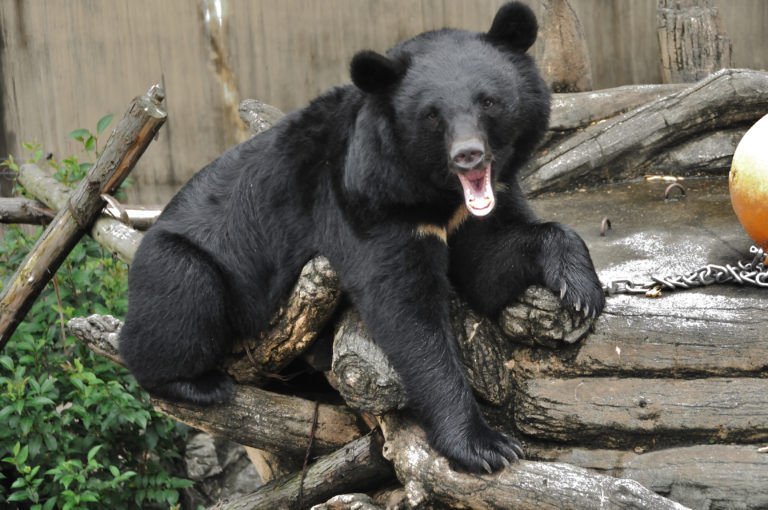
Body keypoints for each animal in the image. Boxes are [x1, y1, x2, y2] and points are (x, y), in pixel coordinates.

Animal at [118, 0, 608, 474]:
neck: (438, 197)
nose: (468, 155)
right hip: (180, 262)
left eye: (488, 102)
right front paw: (485, 447)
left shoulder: (479, 206)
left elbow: (490, 265)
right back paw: (197, 383)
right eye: (432, 116)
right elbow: (408, 314)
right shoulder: (366, 206)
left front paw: (581, 291)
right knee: (179, 303)